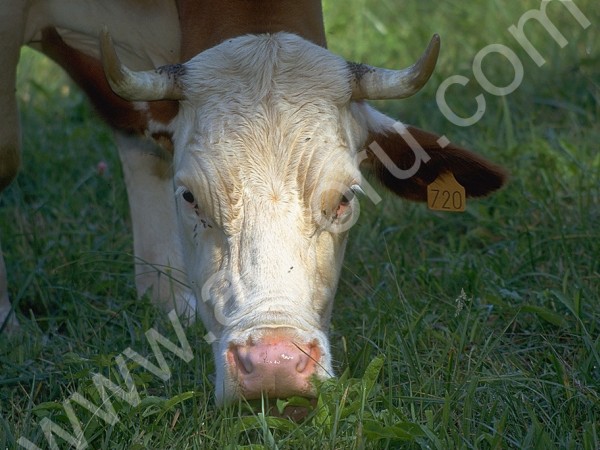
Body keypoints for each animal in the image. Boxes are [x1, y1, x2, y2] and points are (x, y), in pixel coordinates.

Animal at [1, 0, 506, 404]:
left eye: (345, 198)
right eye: (190, 197)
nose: (272, 366)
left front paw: (168, 301)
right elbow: (8, 157)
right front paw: (8, 328)